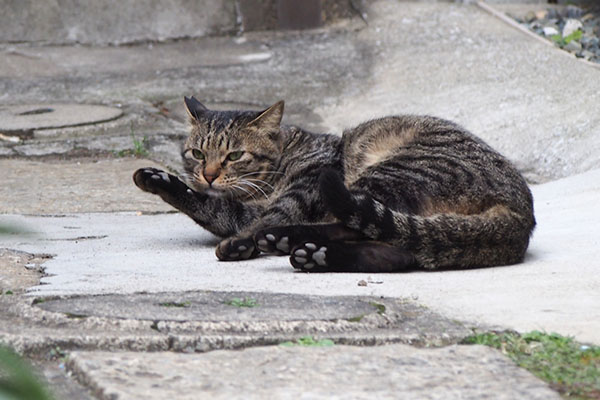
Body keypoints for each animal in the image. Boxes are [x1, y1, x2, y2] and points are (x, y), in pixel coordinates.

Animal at [134, 97, 536, 272]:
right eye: (197, 154)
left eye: (235, 156)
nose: (209, 174)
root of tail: (523, 210)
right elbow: (218, 207)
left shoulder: (300, 191)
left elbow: (237, 215)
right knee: (398, 250)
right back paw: (315, 255)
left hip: (387, 173)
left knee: (352, 225)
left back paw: (286, 241)